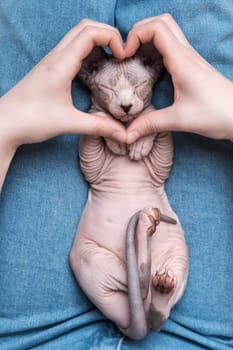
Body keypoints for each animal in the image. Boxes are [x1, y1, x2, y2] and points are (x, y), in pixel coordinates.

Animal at [69, 45, 189, 340]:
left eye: (139, 86)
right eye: (106, 88)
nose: (125, 107)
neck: (125, 128)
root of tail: (134, 323)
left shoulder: (161, 163)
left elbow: (154, 116)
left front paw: (138, 144)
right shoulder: (91, 164)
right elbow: (94, 118)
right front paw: (115, 139)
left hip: (178, 253)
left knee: (158, 312)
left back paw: (161, 283)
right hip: (90, 256)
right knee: (138, 282)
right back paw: (144, 229)